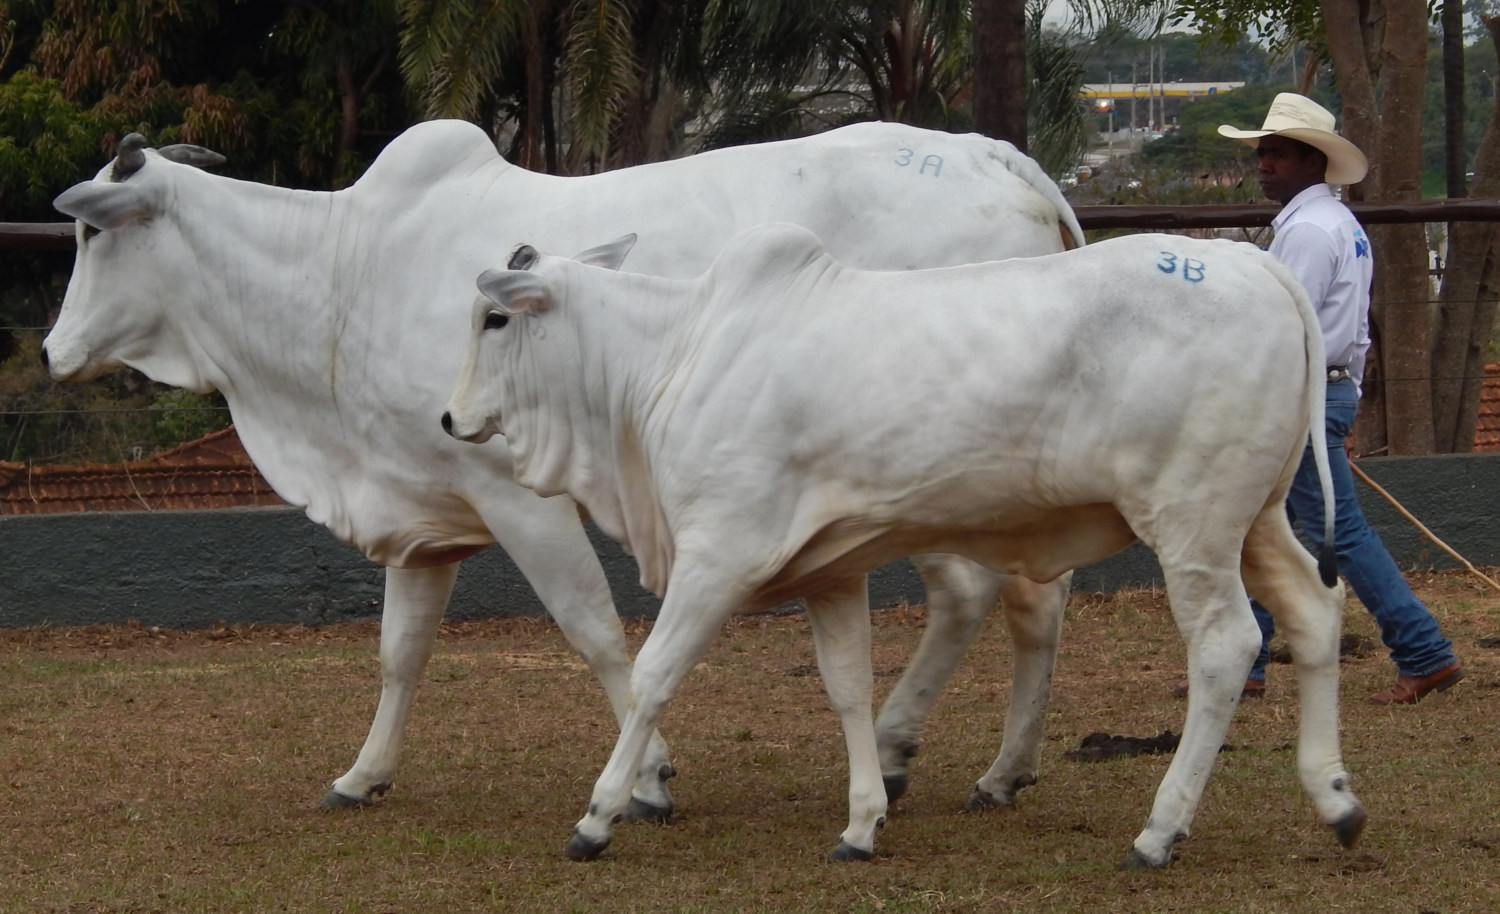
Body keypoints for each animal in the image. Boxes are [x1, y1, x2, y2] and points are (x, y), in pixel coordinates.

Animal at [46, 123, 1080, 822]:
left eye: (94, 236)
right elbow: (399, 653)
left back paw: (919, 754)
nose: (53, 350)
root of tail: (993, 155)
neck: (342, 272)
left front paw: (647, 780)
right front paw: (363, 774)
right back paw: (992, 767)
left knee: (977, 595)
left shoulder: (518, 497)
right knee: (1021, 600)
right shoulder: (426, 519)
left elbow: (598, 634)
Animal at [438, 225, 1368, 864]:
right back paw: (1335, 798)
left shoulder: (718, 555)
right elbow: (849, 688)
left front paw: (600, 813)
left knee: (1226, 646)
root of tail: (1252, 263)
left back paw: (1159, 829)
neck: (671, 356)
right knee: (1315, 611)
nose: (449, 419)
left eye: (494, 318)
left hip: (1193, 524)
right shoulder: (828, 569)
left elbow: (652, 678)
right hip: (1257, 520)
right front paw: (861, 821)